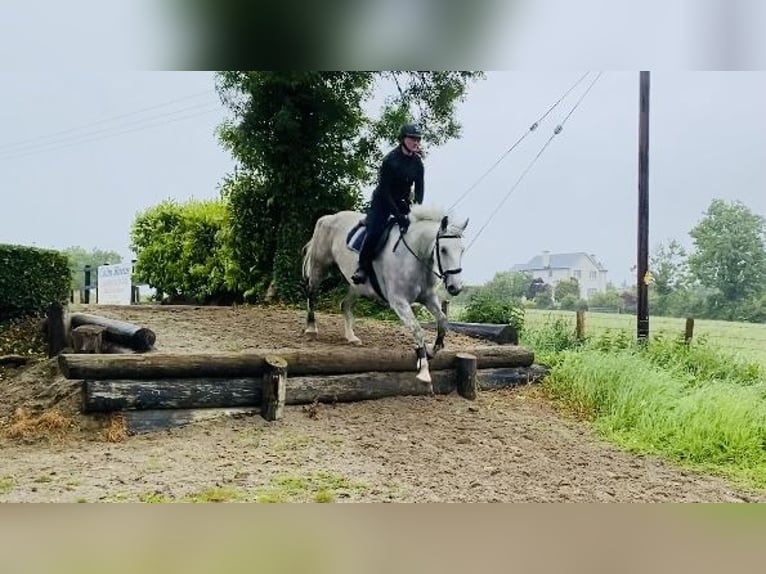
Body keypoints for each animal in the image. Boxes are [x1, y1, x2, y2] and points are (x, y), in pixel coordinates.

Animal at [300, 204, 468, 388]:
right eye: (443, 250)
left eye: (462, 250)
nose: (455, 287)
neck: (415, 255)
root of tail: (328, 217)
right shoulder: (399, 302)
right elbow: (418, 330)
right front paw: (424, 369)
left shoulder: (428, 297)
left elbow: (443, 321)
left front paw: (431, 350)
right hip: (320, 266)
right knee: (311, 292)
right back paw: (311, 328)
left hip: (358, 286)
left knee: (344, 304)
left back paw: (351, 337)